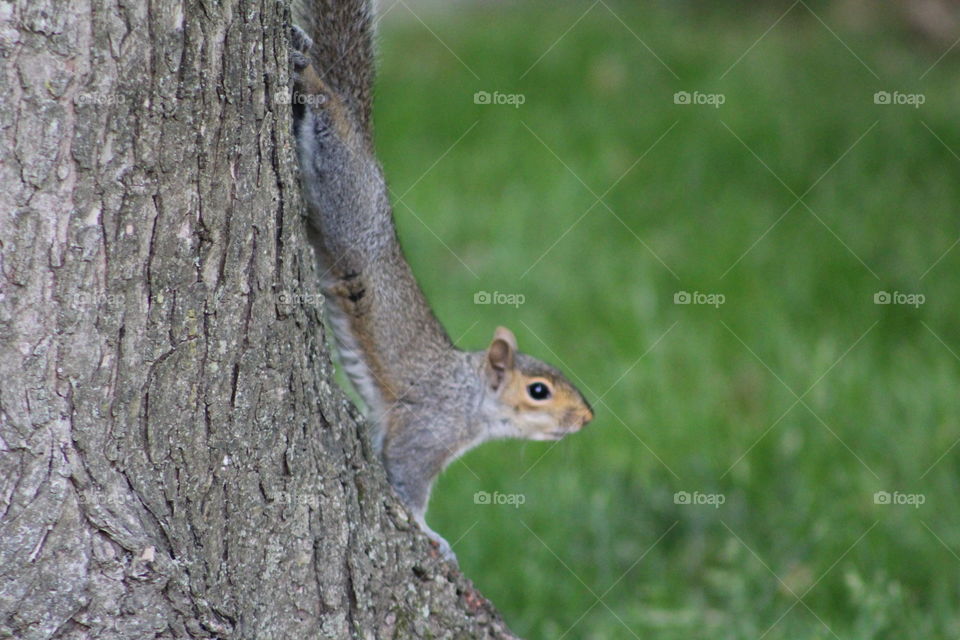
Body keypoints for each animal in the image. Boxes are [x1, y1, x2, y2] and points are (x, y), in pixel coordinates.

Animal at [284, 0, 592, 560]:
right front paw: (432, 535)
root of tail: (366, 140)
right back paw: (310, 72)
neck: (468, 393)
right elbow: (406, 482)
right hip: (347, 194)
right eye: (539, 391)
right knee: (328, 111)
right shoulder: (428, 428)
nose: (587, 418)